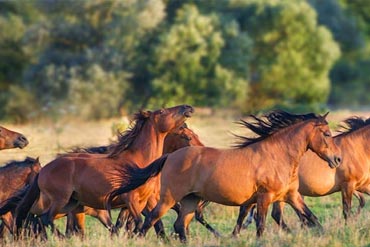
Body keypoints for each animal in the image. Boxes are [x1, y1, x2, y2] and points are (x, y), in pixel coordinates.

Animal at [13, 104, 194, 239]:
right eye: (162, 111)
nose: (188, 107)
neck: (138, 163)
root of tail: (43, 170)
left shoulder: (140, 202)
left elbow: (133, 224)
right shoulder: (131, 200)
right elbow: (139, 222)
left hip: (72, 203)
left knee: (43, 219)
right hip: (60, 200)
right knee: (45, 218)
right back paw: (61, 238)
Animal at [104, 110, 342, 241]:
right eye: (326, 134)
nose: (338, 159)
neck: (277, 156)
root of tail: (169, 156)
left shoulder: (292, 196)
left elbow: (312, 218)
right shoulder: (264, 198)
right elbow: (261, 225)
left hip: (191, 200)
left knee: (180, 225)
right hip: (170, 198)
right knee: (152, 219)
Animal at [233, 115, 368, 233]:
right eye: (326, 134)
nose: (338, 160)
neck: (356, 149)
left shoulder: (361, 185)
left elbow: (361, 201)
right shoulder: (348, 185)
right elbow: (348, 209)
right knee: (273, 213)